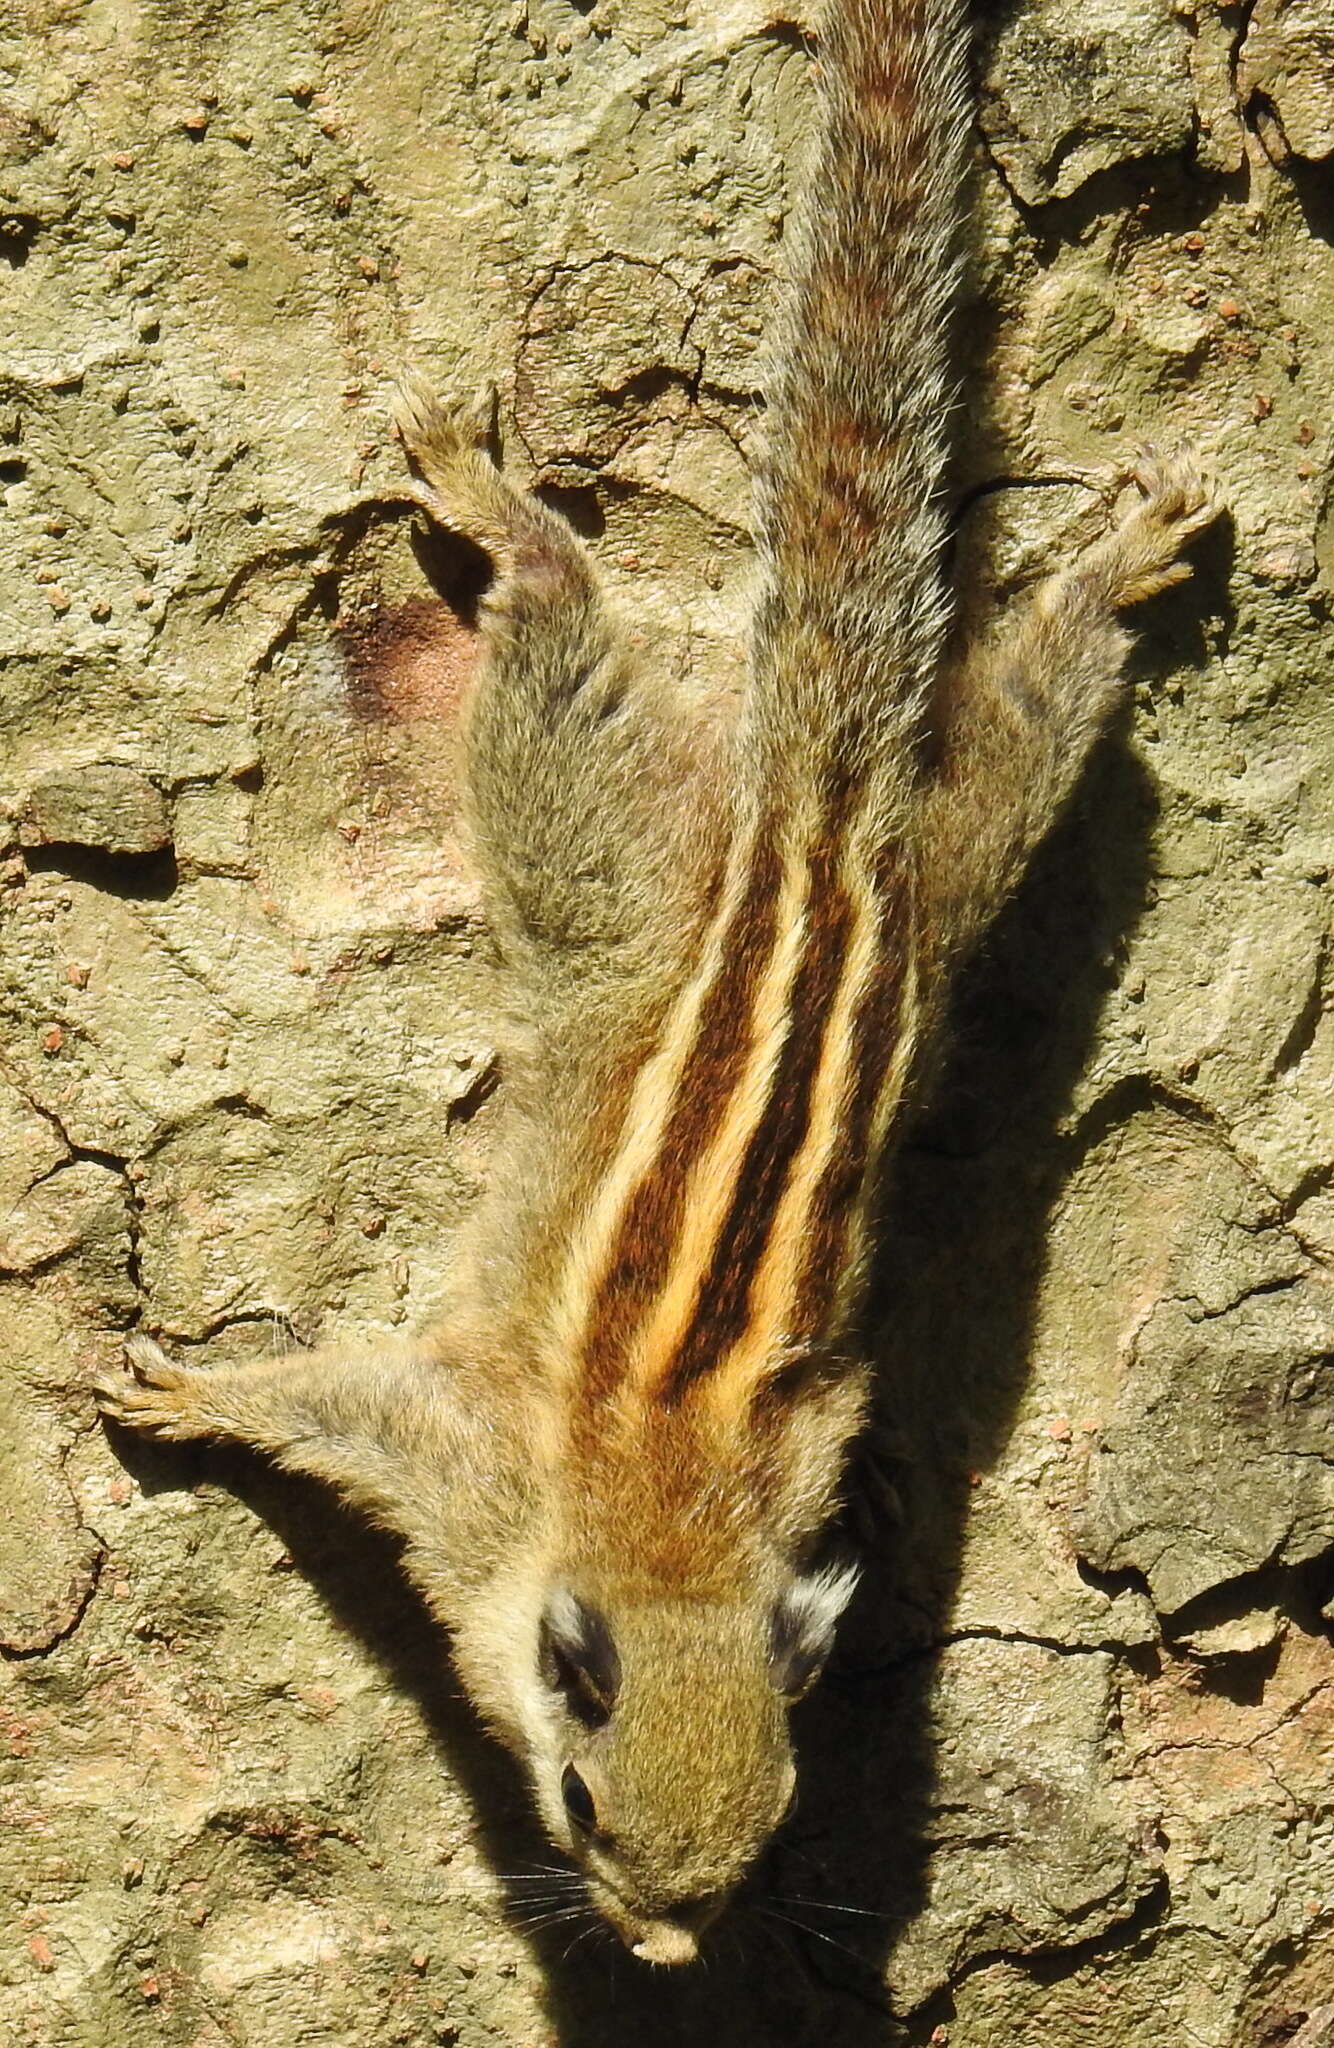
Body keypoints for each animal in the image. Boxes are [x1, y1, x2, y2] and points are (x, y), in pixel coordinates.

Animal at [91, 0, 1221, 1966]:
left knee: (1031, 682)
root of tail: (820, 830)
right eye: (578, 1806)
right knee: (564, 619)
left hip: (949, 855)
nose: (664, 1947)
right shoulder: (456, 1466)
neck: (673, 1554)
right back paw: (508, 511)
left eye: (763, 1834)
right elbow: (331, 1405)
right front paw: (199, 1396)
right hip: (645, 848)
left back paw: (1109, 570)